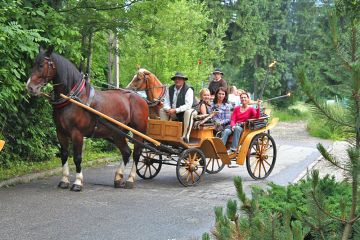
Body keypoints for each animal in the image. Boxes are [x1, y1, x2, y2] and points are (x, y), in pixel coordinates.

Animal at [26, 46, 148, 191]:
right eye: (33, 64)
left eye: (41, 65)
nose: (29, 87)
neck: (73, 98)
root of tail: (141, 98)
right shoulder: (60, 132)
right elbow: (64, 155)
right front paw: (64, 180)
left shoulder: (77, 133)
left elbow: (77, 157)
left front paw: (78, 182)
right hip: (117, 133)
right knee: (126, 152)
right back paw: (118, 178)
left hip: (138, 132)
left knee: (136, 153)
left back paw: (130, 179)